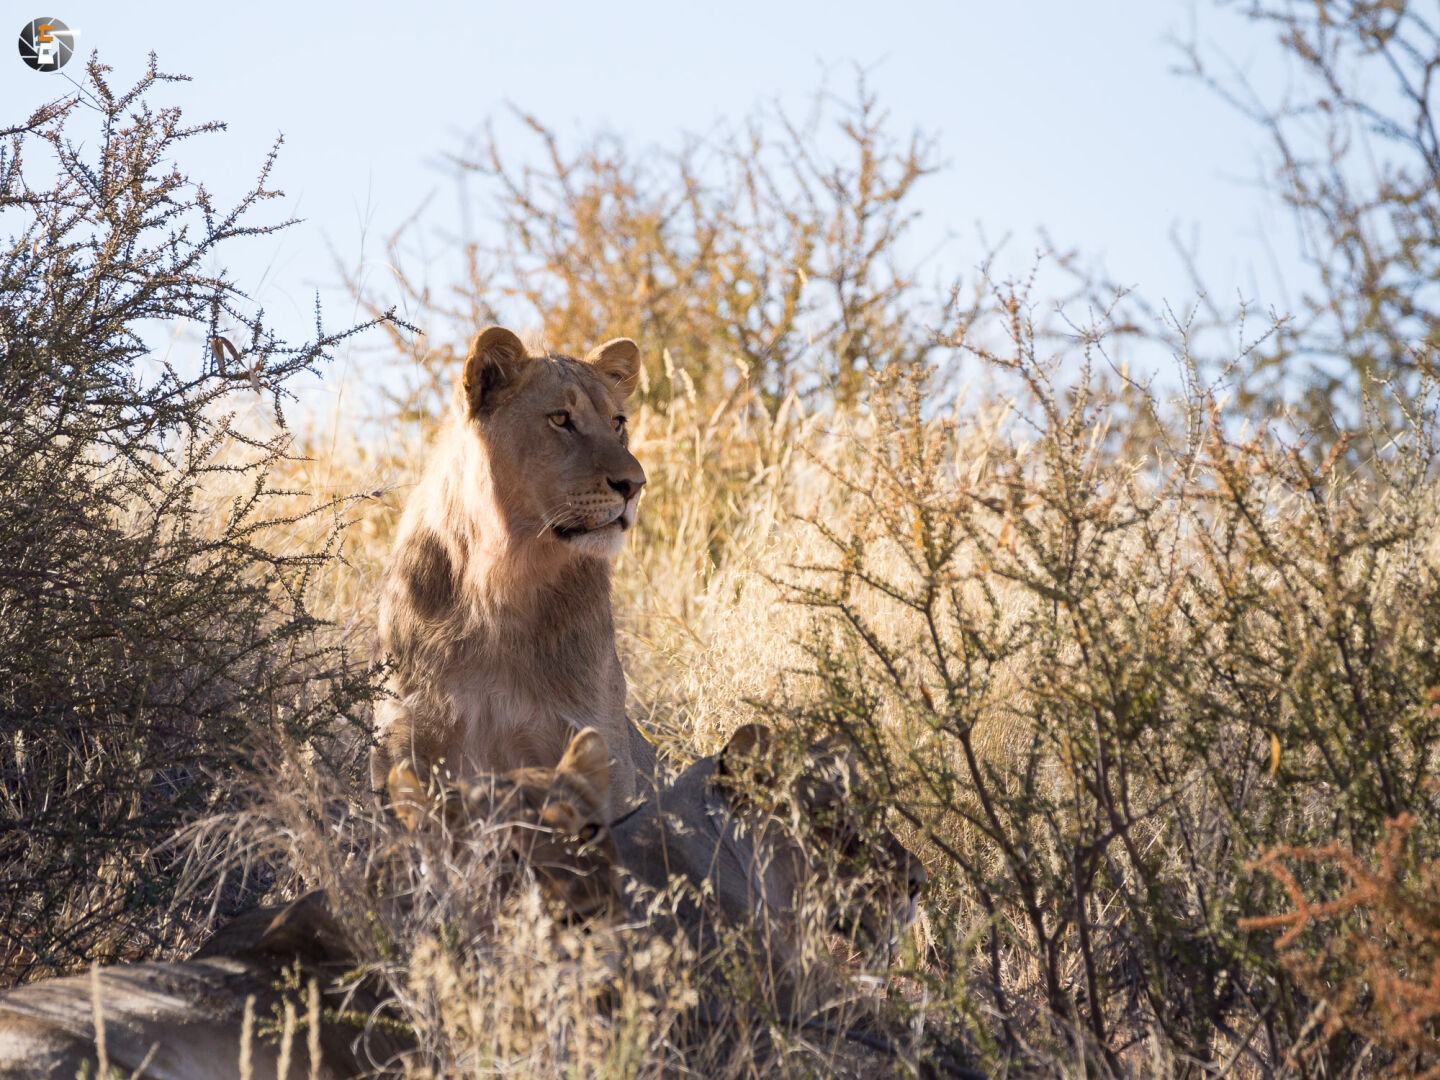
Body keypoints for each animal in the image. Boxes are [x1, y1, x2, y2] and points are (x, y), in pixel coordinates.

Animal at [371, 325, 658, 818]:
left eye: (618, 422)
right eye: (561, 419)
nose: (635, 485)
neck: (503, 577)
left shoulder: (599, 746)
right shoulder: (400, 741)